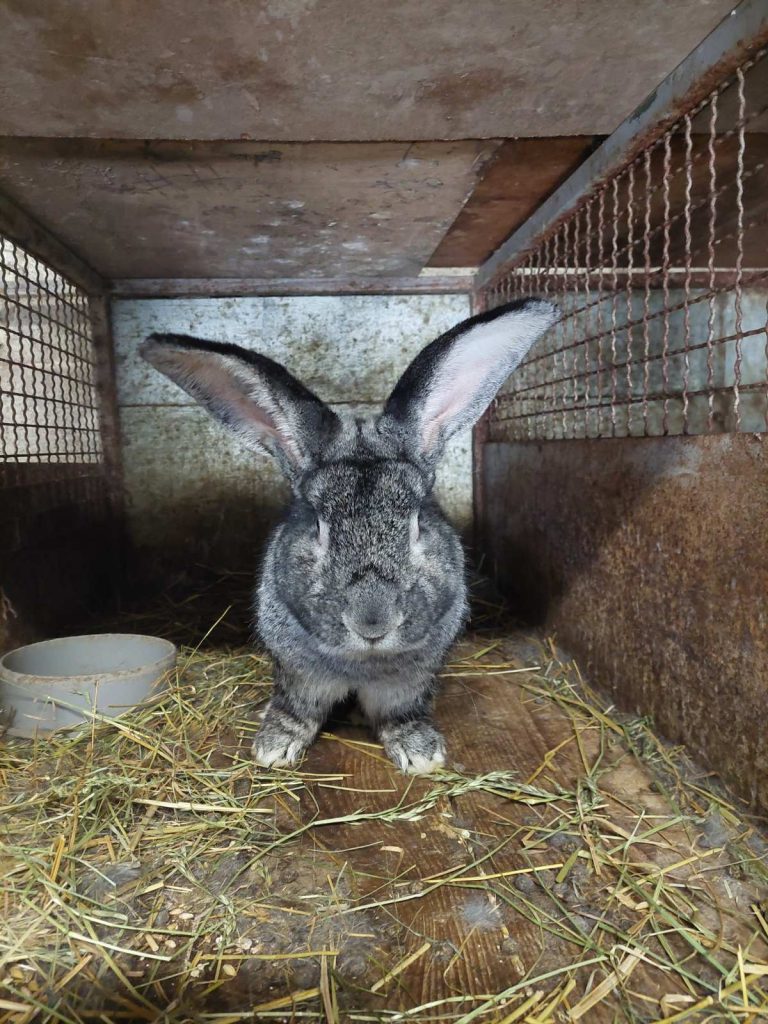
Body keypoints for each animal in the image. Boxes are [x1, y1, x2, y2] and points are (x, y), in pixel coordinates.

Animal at [140, 297, 557, 774]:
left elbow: (401, 713)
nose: (372, 622)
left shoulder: (408, 683)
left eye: (418, 522)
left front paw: (420, 754)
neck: (365, 663)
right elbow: (297, 709)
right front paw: (274, 749)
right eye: (319, 526)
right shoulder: (300, 674)